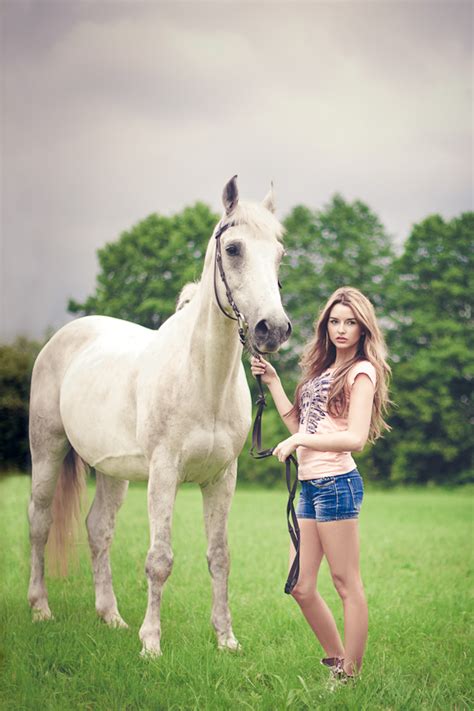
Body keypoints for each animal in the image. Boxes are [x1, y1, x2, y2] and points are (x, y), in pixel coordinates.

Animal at [28, 177, 292, 656]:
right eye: (234, 249)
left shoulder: (221, 478)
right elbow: (159, 559)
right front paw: (150, 642)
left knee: (98, 529)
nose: (274, 329)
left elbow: (220, 556)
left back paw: (110, 616)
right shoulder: (164, 472)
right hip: (47, 450)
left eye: (279, 254)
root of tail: (65, 335)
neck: (202, 378)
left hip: (111, 471)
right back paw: (40, 608)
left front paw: (226, 639)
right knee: (39, 523)